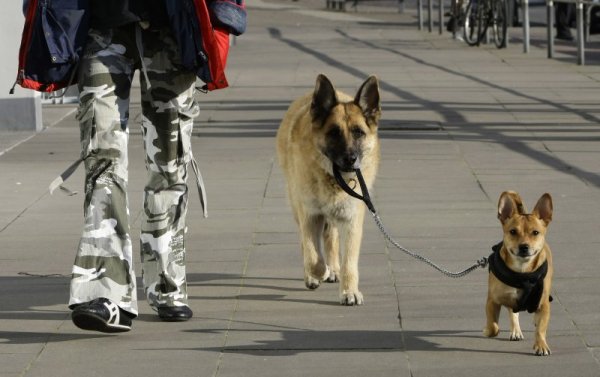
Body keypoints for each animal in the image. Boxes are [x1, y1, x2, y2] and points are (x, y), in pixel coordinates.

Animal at [486, 192, 556, 354]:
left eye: (535, 233)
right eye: (513, 232)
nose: (524, 246)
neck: (522, 273)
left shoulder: (543, 304)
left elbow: (541, 329)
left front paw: (541, 345)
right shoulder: (492, 300)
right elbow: (493, 326)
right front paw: (488, 330)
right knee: (513, 313)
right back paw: (515, 331)